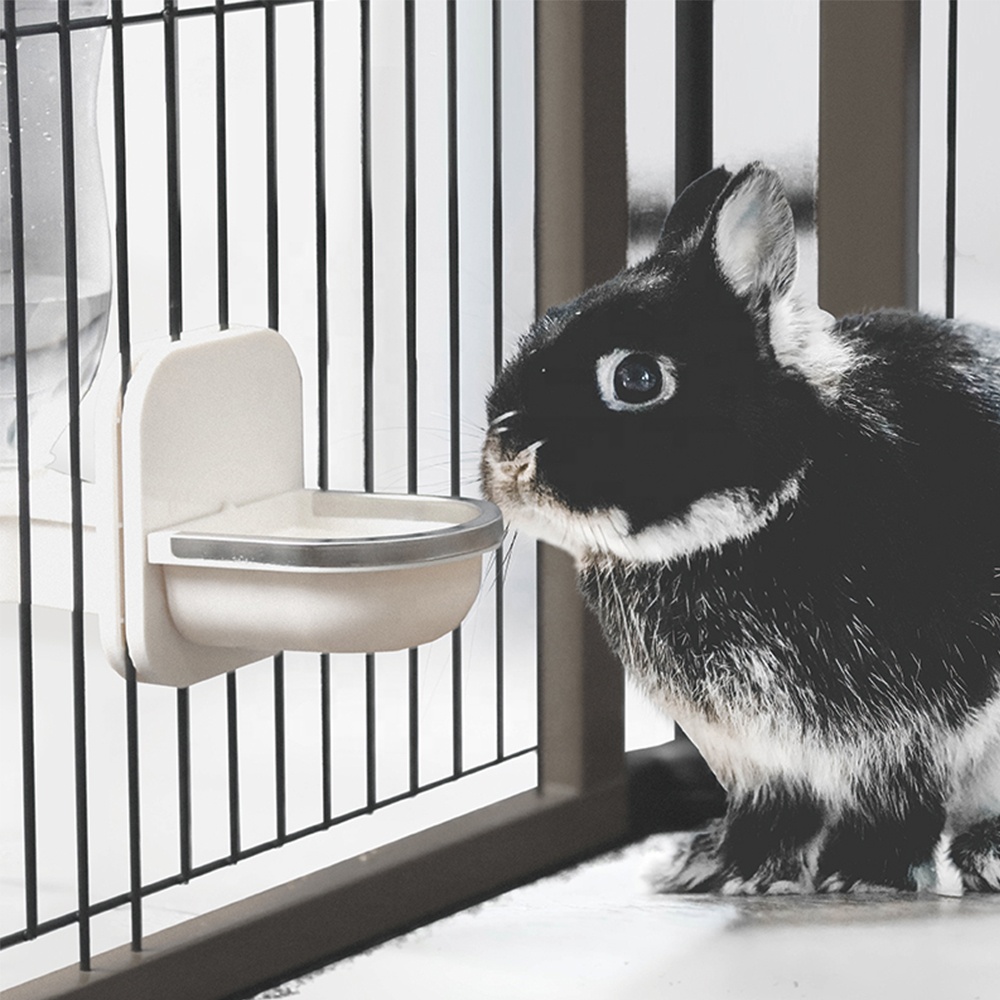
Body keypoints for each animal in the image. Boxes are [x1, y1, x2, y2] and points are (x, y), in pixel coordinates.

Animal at [481, 162, 1000, 895]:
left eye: (635, 378)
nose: (508, 454)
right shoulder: (756, 754)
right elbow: (774, 809)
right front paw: (721, 871)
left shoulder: (909, 729)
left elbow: (896, 800)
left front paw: (862, 878)